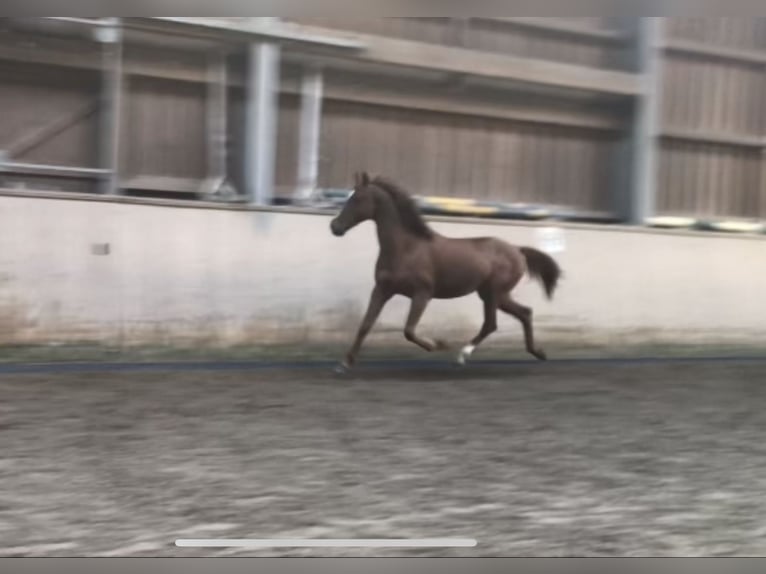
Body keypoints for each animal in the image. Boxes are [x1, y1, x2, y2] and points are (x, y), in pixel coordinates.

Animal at [332, 172, 564, 368]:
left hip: (494, 292)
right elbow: (365, 325)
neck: (406, 248)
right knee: (524, 313)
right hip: (495, 294)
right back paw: (538, 352)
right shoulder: (382, 289)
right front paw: (345, 363)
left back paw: (462, 355)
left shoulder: (422, 293)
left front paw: (437, 344)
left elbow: (409, 330)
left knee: (491, 324)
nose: (335, 227)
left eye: (357, 199)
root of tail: (517, 250)